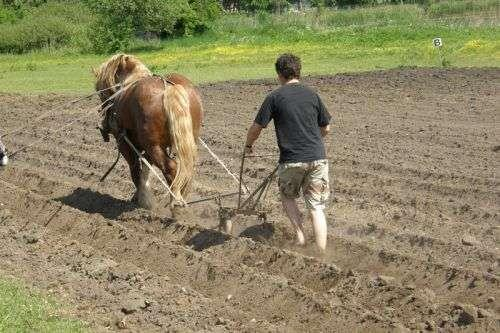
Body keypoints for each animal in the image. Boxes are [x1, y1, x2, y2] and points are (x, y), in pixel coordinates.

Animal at [94, 53, 203, 208]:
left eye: (99, 90)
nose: (103, 124)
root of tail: (168, 89)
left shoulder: (125, 144)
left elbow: (135, 170)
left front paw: (141, 199)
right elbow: (146, 170)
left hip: (153, 146)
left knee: (170, 167)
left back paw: (175, 201)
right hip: (187, 140)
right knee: (186, 168)